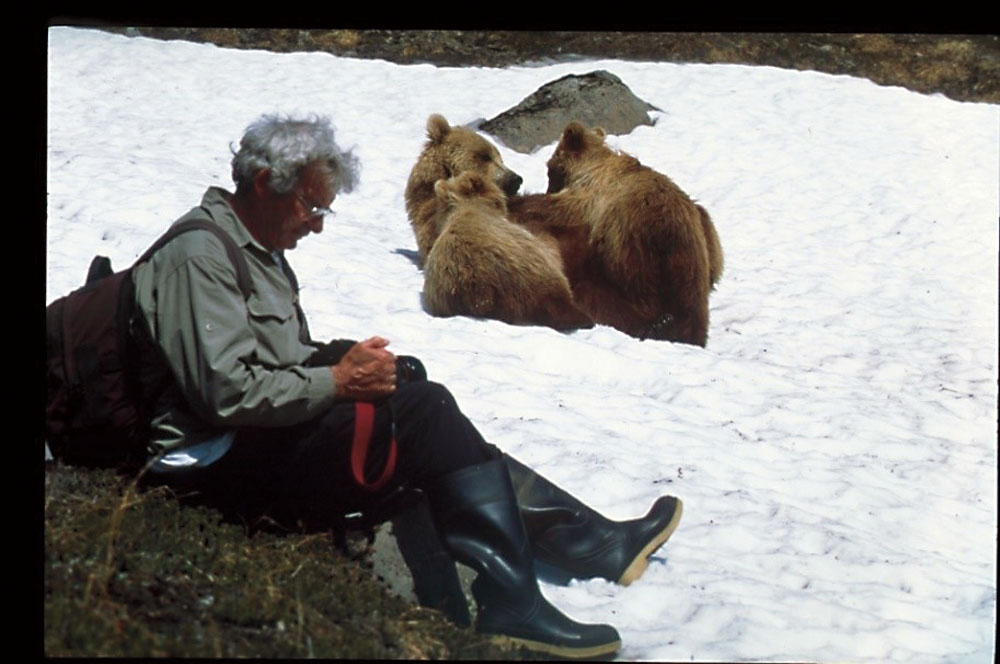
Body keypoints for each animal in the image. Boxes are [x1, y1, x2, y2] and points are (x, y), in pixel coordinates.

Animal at [512, 120, 724, 348]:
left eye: (550, 169)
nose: (549, 188)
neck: (593, 167)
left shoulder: (588, 199)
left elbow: (556, 208)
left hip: (627, 246)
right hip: (698, 254)